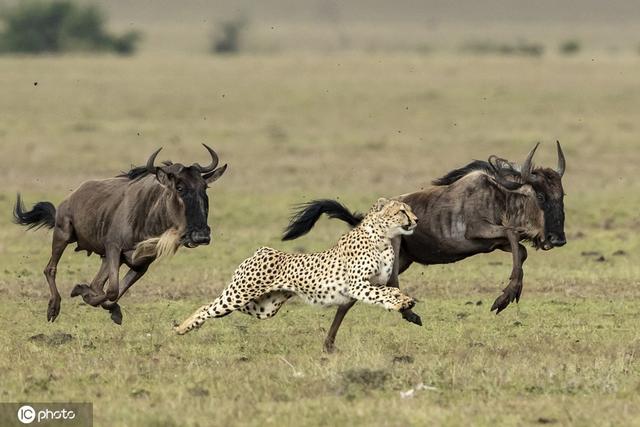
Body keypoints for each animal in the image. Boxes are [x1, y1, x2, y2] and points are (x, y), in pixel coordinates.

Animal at [172, 199, 420, 350]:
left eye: (409, 209)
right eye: (402, 211)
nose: (416, 220)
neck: (383, 237)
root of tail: (264, 249)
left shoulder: (373, 283)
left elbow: (391, 290)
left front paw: (406, 304)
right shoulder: (357, 285)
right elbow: (384, 293)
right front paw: (403, 303)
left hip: (263, 307)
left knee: (213, 307)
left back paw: (186, 326)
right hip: (240, 295)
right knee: (208, 306)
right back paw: (182, 328)